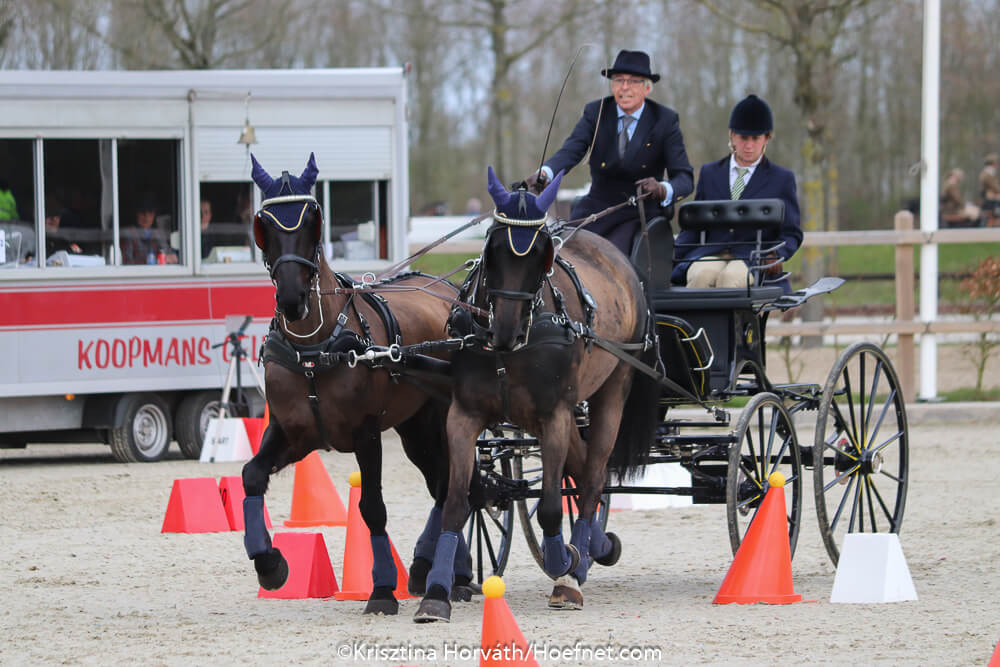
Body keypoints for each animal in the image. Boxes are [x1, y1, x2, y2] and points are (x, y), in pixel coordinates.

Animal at [241, 153, 475, 615]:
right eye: (265, 226)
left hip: (440, 419)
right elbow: (251, 475)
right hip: (414, 427)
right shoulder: (293, 433)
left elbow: (372, 507)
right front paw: (269, 563)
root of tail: (448, 289)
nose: (292, 299)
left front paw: (382, 588)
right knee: (442, 486)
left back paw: (443, 575)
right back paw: (436, 571)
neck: (316, 349)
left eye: (312, 220)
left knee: (452, 488)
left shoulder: (367, 434)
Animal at [414, 167, 660, 622]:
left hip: (612, 392)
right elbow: (457, 502)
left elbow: (549, 506)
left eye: (542, 254)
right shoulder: (463, 415)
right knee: (583, 471)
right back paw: (596, 548)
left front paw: (565, 568)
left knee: (593, 477)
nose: (506, 330)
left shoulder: (555, 416)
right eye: (493, 249)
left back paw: (577, 562)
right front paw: (436, 593)